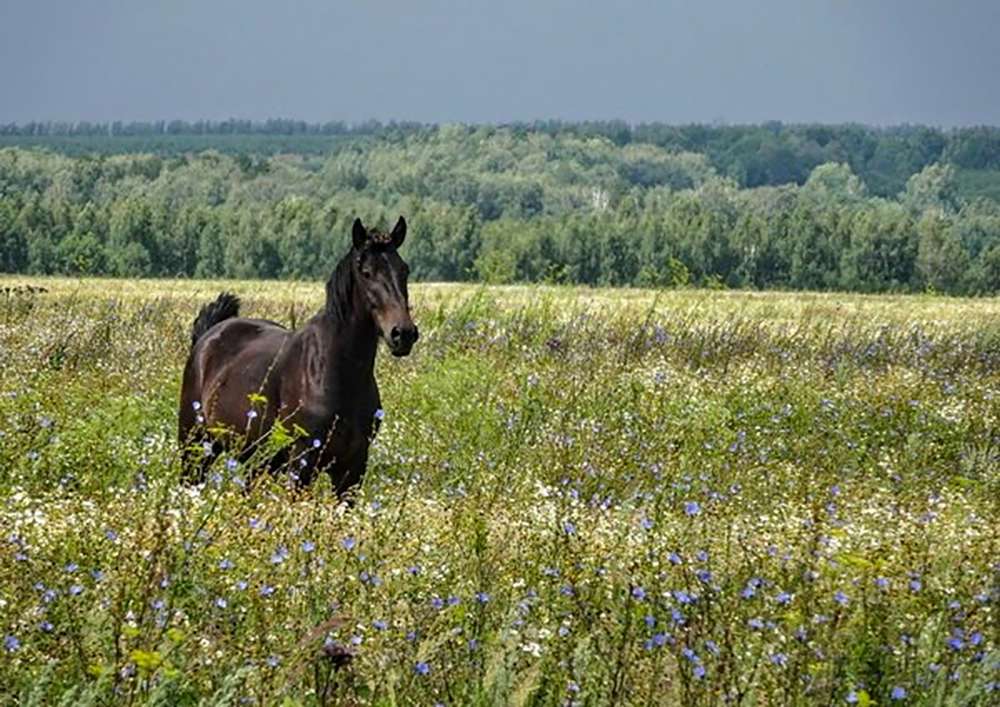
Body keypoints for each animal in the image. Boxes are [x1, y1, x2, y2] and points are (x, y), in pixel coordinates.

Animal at [178, 217, 416, 498]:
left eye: (404, 271)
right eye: (366, 272)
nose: (403, 333)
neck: (334, 371)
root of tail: (208, 335)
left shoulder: (353, 469)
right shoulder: (302, 463)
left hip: (257, 461)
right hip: (195, 447)